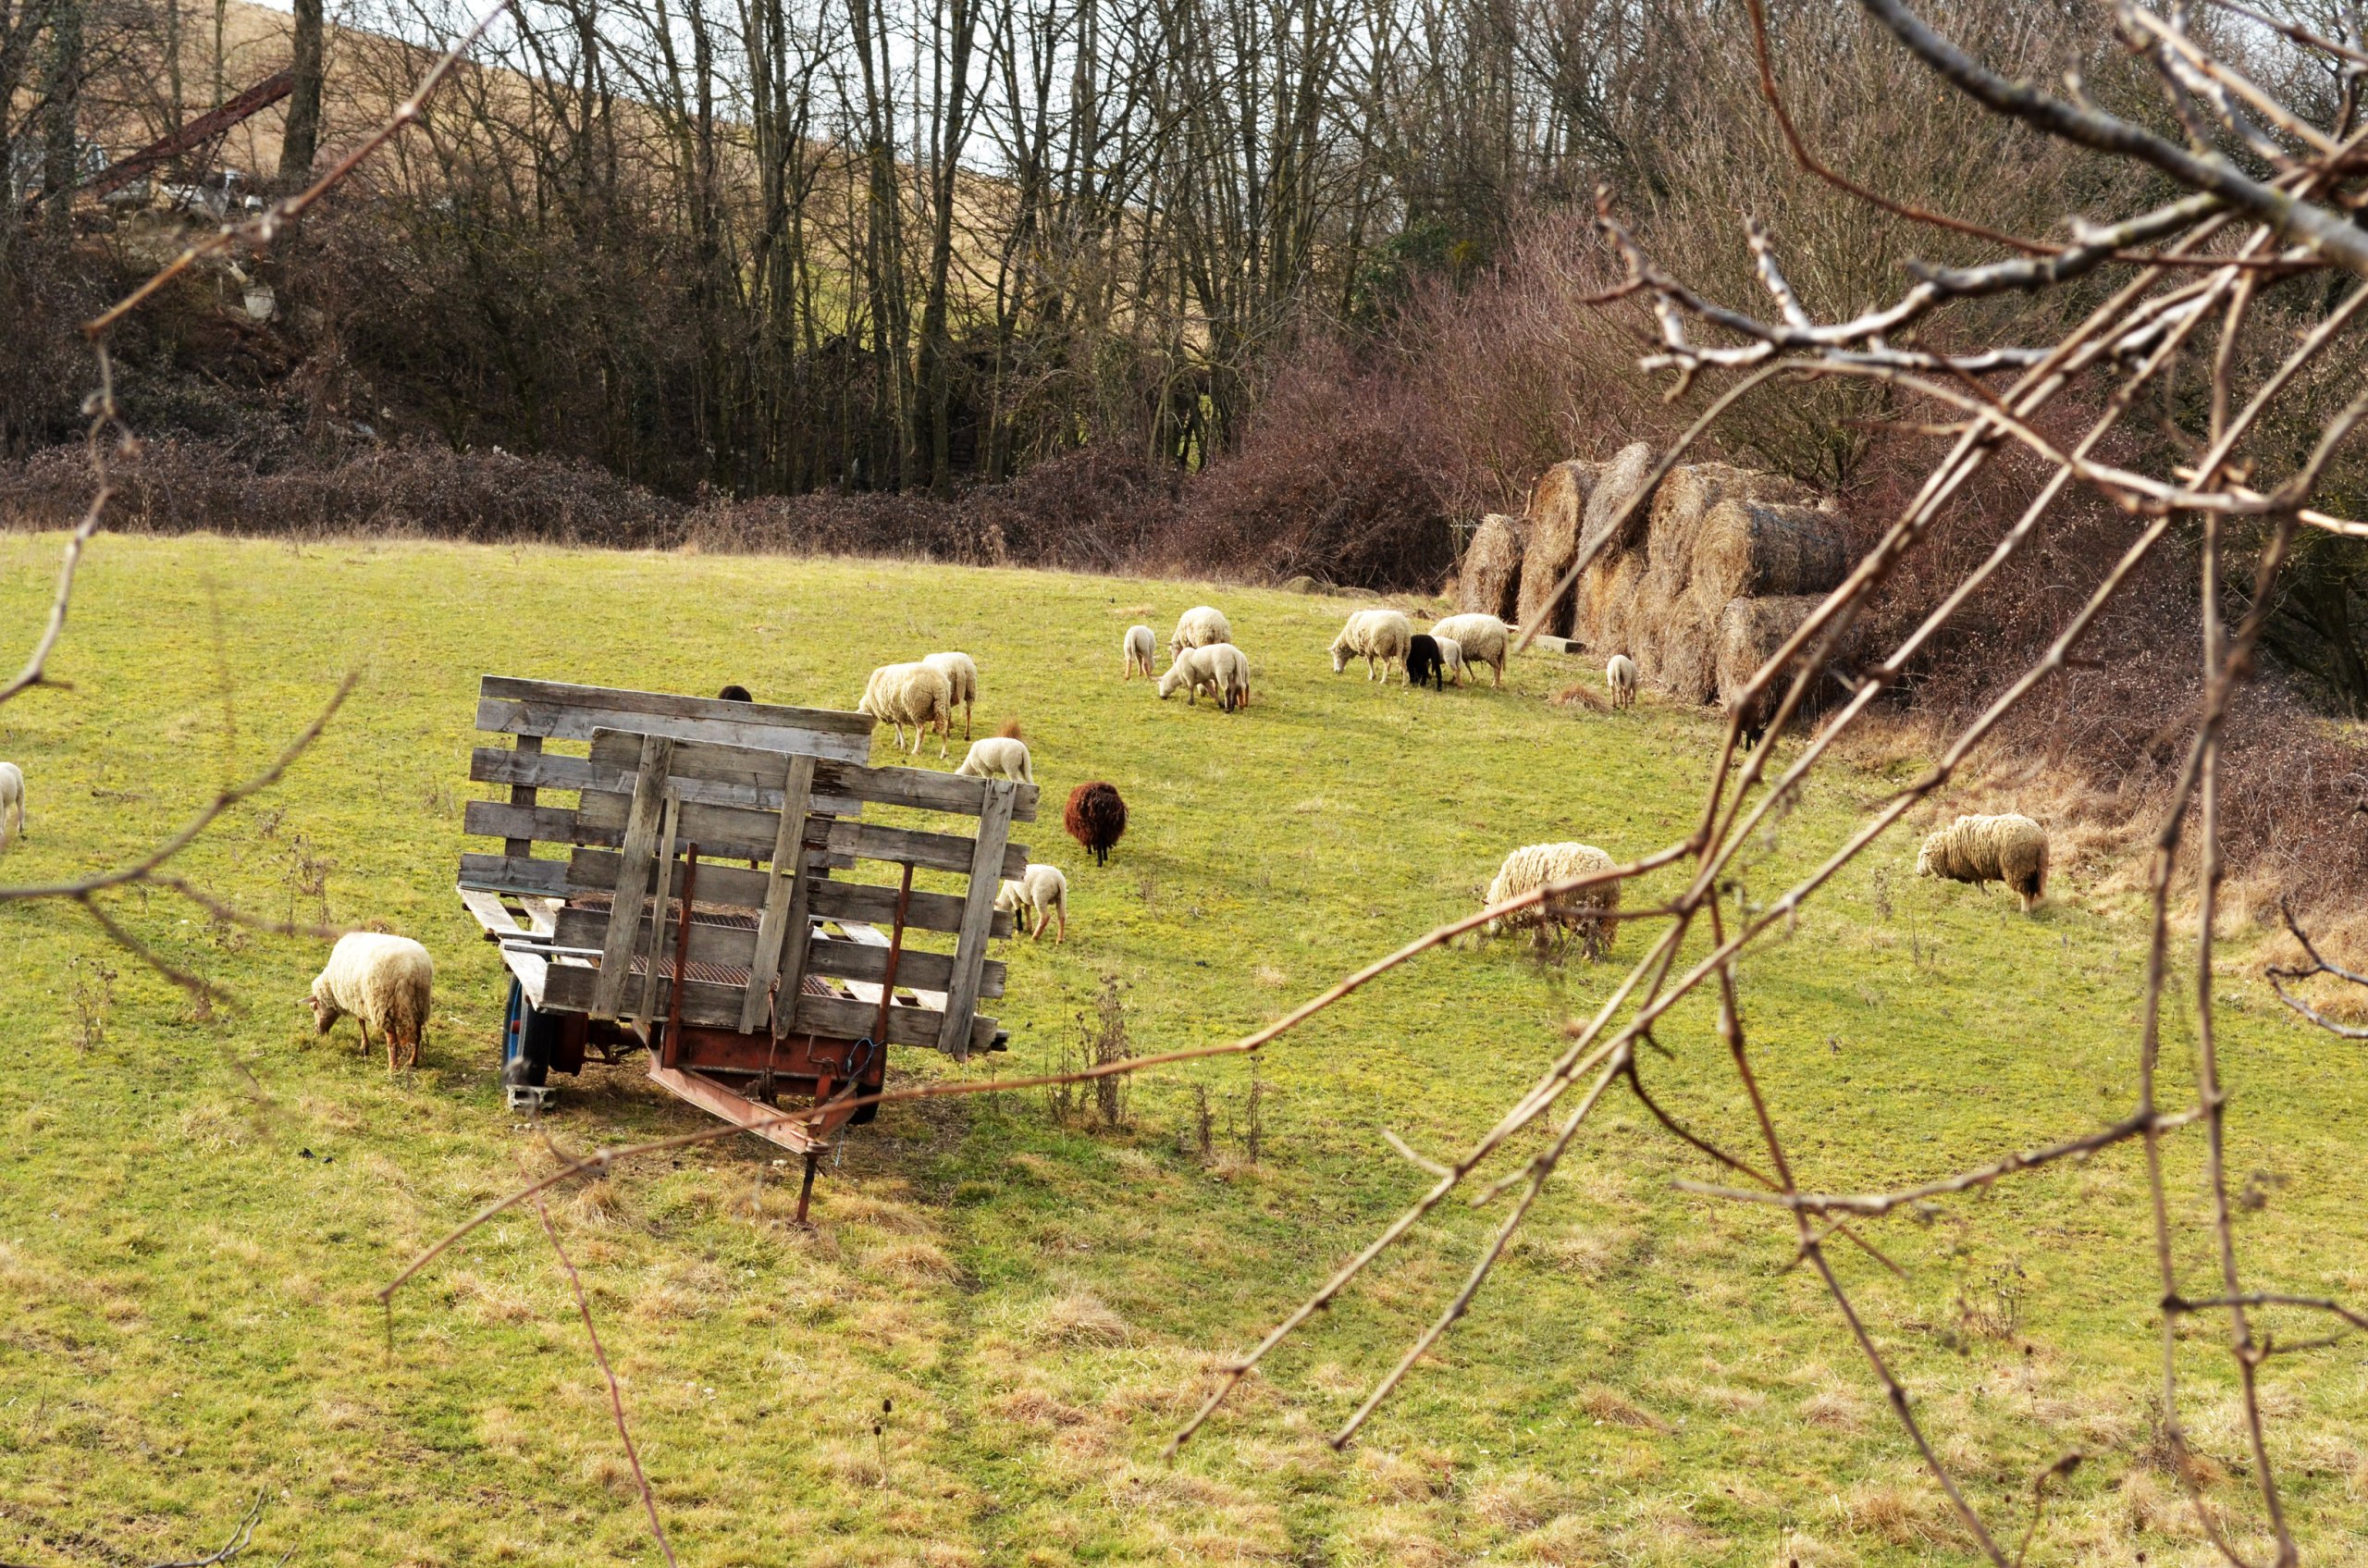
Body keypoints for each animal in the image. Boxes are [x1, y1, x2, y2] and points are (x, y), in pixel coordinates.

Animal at [307, 937, 438, 1075]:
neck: (332, 988)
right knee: (418, 1035)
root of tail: (414, 968)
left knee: (392, 1040)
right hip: (421, 1004)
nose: (317, 1031)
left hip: (384, 1004)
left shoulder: (357, 1000)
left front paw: (364, 1048)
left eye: (313, 1007)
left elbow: (360, 1022)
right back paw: (412, 1062)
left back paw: (393, 1067)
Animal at [1468, 847, 1620, 957]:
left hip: (1589, 905)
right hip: (1605, 908)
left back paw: (1588, 955)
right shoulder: (1551, 909)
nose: (1493, 935)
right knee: (1602, 933)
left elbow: (1539, 929)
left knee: (1592, 931)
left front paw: (1533, 945)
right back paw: (1598, 952)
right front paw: (1560, 943)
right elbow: (1555, 926)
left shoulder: (1537, 908)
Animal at [1913, 814, 2045, 914]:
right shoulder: (1975, 867)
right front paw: (1987, 895)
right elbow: (1980, 883)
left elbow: (1979, 884)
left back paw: (2025, 910)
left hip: (2017, 868)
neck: (1947, 846)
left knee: (2025, 892)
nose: (1918, 873)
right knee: (2032, 891)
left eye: (1922, 856)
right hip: (2037, 870)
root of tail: (2038, 838)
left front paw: (1986, 895)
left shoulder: (1971, 868)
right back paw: (2030, 907)